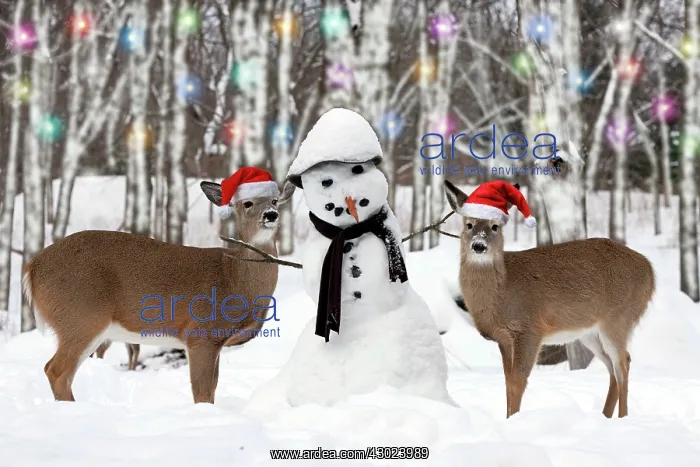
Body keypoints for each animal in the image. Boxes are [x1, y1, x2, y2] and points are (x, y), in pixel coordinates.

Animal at [23, 167, 283, 404]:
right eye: (247, 203)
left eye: (275, 200)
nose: (271, 214)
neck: (233, 277)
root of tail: (32, 267)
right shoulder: (200, 333)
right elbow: (202, 394)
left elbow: (212, 391)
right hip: (80, 316)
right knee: (56, 370)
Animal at [443, 179, 655, 419]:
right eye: (469, 224)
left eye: (495, 226)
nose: (479, 245)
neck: (502, 292)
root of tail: (650, 271)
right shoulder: (504, 339)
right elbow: (507, 382)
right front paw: (507, 418)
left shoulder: (529, 329)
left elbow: (517, 382)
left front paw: (513, 419)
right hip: (590, 332)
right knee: (611, 367)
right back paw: (605, 416)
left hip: (619, 318)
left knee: (623, 363)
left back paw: (622, 417)